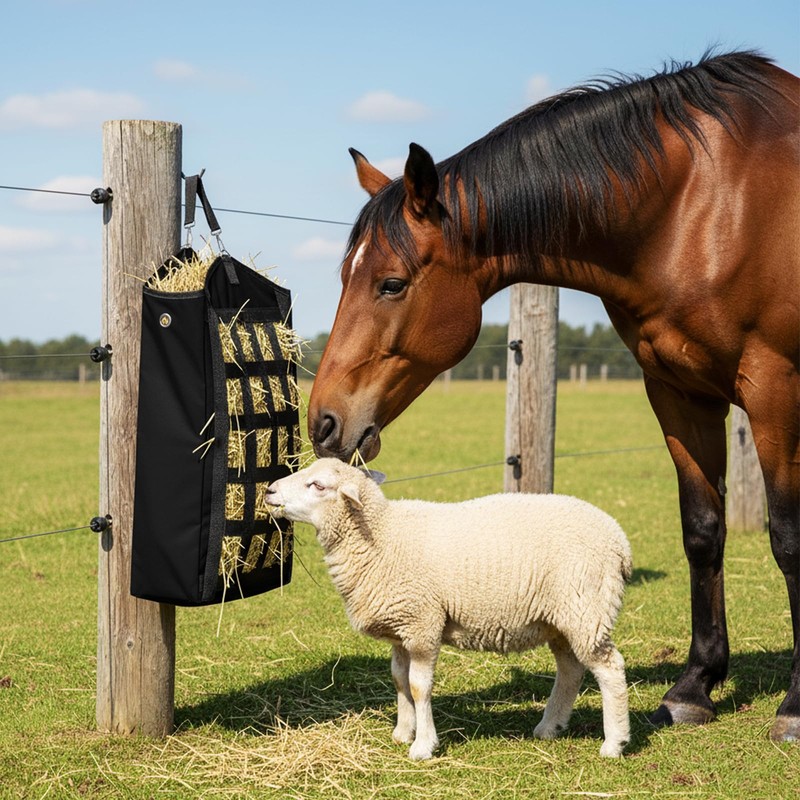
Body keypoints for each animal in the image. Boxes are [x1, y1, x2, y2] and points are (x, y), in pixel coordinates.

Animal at [307, 51, 799, 742]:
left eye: (391, 283)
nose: (323, 421)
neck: (703, 204)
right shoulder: (677, 389)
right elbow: (703, 531)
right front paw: (695, 688)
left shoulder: (774, 385)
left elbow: (788, 538)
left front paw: (795, 705)